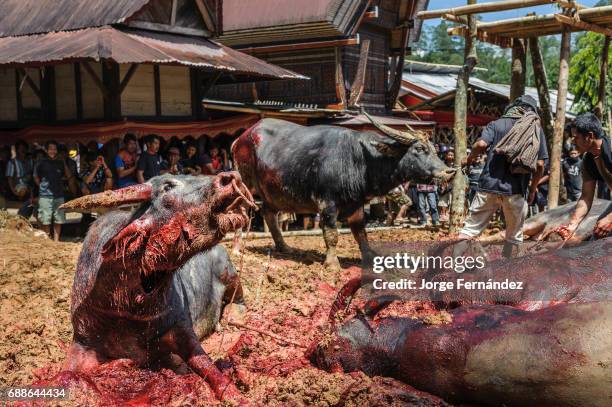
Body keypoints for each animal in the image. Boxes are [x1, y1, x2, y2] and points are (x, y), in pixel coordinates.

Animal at [232, 114, 456, 268]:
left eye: (434, 149)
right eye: (419, 149)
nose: (449, 171)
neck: (360, 160)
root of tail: (241, 138)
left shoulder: (355, 204)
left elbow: (360, 233)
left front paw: (370, 257)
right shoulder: (327, 204)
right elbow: (332, 234)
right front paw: (332, 264)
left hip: (273, 193)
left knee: (268, 213)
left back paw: (283, 246)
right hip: (246, 185)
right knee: (241, 212)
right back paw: (235, 248)